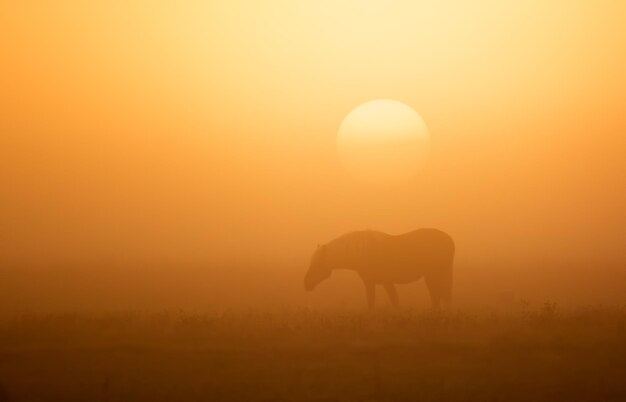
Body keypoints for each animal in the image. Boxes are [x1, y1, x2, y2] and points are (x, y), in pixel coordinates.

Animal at [302, 228, 454, 310]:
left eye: (318, 264)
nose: (306, 284)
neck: (362, 253)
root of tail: (449, 240)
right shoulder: (379, 283)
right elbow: (386, 301)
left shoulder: (379, 282)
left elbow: (385, 301)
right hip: (434, 275)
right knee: (438, 296)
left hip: (434, 275)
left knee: (438, 296)